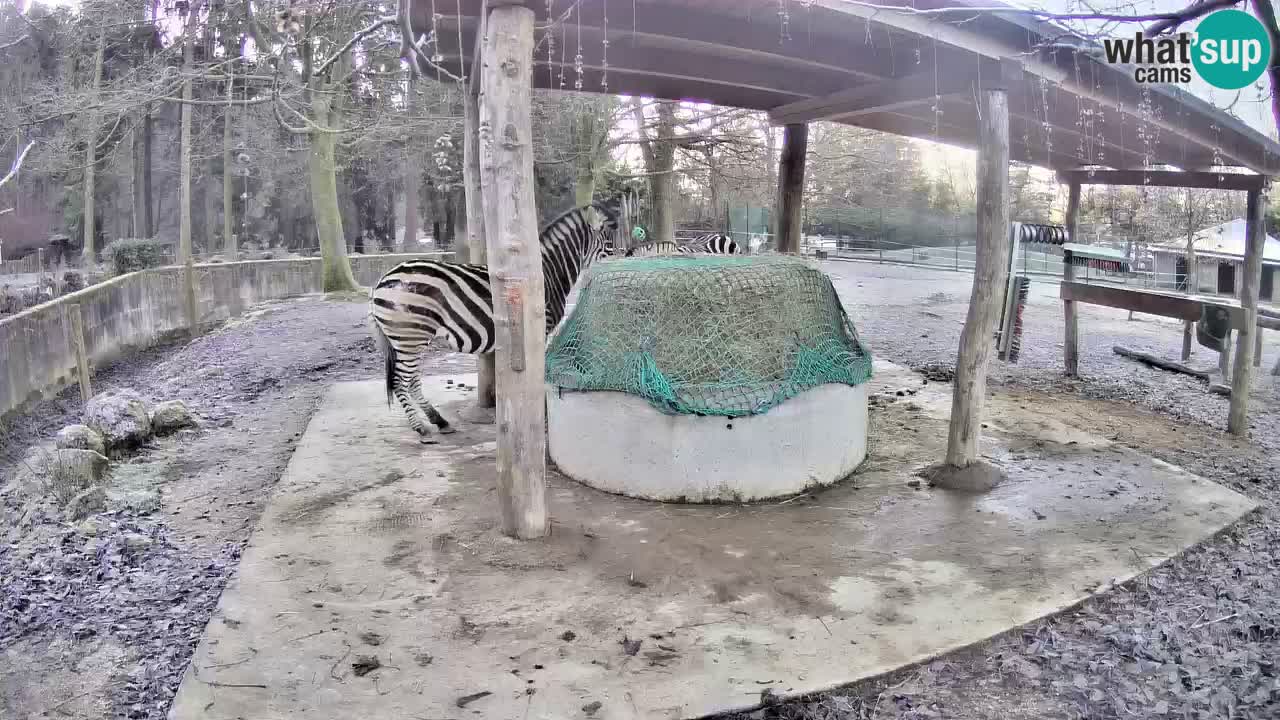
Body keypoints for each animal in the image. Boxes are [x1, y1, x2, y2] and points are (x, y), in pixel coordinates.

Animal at [368, 190, 632, 438]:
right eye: (610, 246)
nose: (629, 260)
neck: (547, 274)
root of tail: (383, 279)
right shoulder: (541, 328)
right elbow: (537, 374)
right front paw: (540, 414)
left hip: (408, 339)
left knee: (411, 380)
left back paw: (439, 421)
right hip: (410, 335)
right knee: (401, 381)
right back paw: (421, 428)